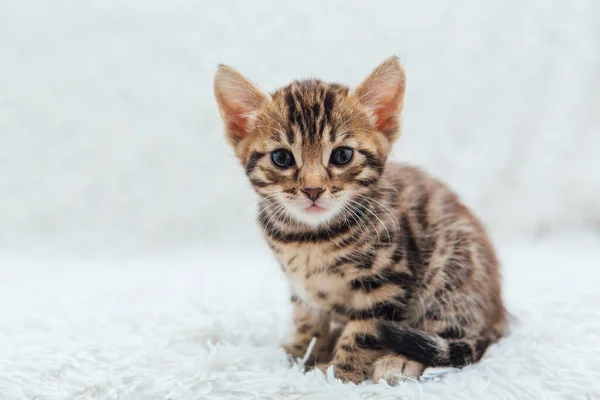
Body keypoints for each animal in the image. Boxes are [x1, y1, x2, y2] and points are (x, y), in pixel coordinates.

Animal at [213, 57, 504, 384]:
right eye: (282, 158)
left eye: (342, 155)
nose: (313, 189)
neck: (310, 238)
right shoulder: (301, 290)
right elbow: (306, 320)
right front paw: (299, 353)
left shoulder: (386, 281)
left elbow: (364, 333)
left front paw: (340, 372)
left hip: (450, 270)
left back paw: (399, 360)